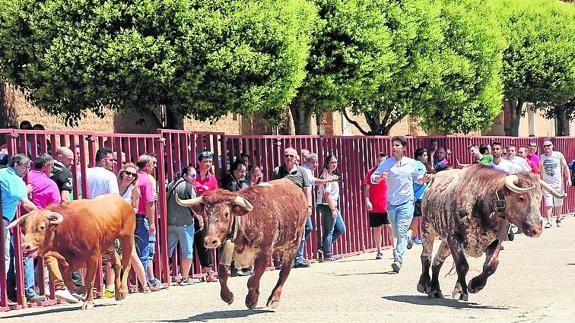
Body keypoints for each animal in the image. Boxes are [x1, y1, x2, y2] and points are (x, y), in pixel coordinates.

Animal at [7, 194, 136, 310]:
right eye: (24, 229)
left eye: (42, 227)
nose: (25, 246)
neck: (69, 227)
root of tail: (122, 201)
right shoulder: (66, 260)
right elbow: (67, 280)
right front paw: (80, 290)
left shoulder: (93, 256)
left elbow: (89, 280)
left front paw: (88, 302)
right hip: (107, 246)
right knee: (117, 262)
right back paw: (118, 293)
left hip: (127, 238)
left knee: (126, 263)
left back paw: (123, 290)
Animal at [177, 178, 308, 310]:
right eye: (206, 214)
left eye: (226, 213)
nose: (210, 241)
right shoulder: (225, 250)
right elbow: (222, 274)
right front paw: (228, 296)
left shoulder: (265, 253)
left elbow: (252, 280)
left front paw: (251, 300)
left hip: (293, 244)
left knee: (284, 271)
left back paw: (274, 299)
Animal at [418, 166, 564, 302]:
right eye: (521, 198)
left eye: (539, 197)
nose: (536, 229)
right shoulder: (453, 237)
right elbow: (462, 265)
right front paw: (462, 291)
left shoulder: (495, 241)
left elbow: (491, 266)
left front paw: (475, 285)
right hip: (427, 228)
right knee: (426, 256)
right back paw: (424, 284)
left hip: (445, 241)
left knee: (437, 261)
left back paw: (435, 289)